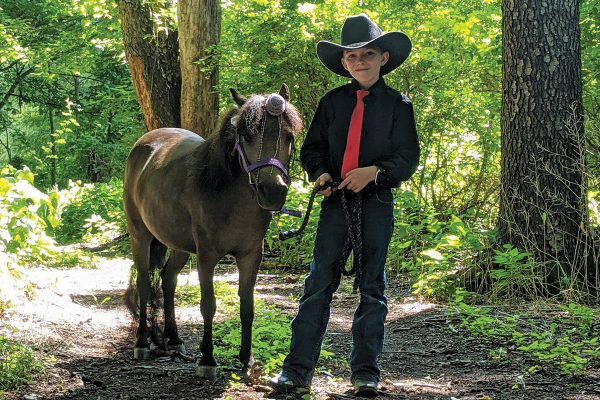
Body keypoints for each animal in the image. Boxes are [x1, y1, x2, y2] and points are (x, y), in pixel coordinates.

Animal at [124, 84, 304, 378]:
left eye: (288, 136)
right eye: (247, 136)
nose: (272, 191)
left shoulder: (251, 256)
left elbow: (247, 306)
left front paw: (247, 359)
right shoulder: (207, 256)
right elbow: (208, 306)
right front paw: (207, 359)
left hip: (178, 245)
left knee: (168, 279)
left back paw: (174, 339)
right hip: (140, 236)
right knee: (144, 284)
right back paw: (142, 343)